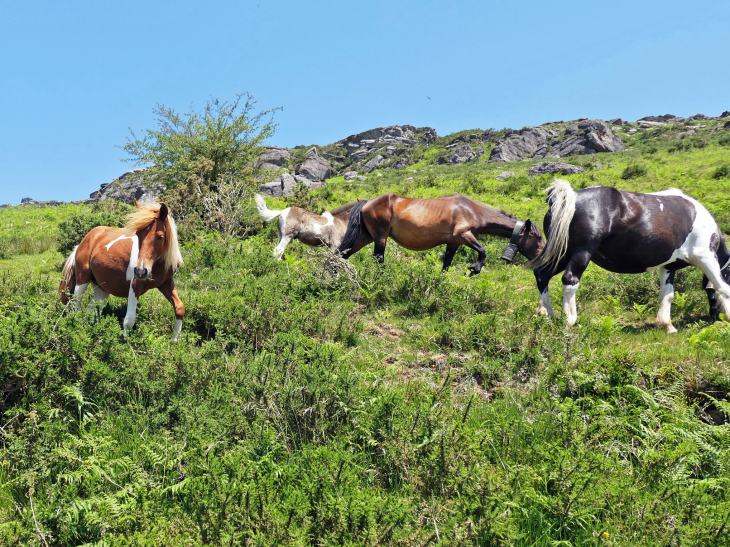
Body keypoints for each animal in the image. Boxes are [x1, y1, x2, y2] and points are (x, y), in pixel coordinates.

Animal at [59, 199, 185, 340]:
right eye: (138, 234)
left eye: (160, 236)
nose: (141, 271)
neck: (156, 265)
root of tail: (83, 241)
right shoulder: (135, 285)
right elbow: (129, 320)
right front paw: (127, 344)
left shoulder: (166, 283)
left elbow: (180, 308)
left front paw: (175, 340)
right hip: (82, 280)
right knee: (75, 307)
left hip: (102, 289)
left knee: (92, 311)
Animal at [528, 180, 728, 334]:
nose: (715, 316)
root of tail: (570, 197)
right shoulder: (705, 258)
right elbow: (722, 288)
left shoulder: (668, 267)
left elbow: (667, 294)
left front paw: (666, 325)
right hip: (580, 253)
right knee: (570, 280)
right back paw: (569, 320)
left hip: (562, 253)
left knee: (542, 274)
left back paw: (544, 313)